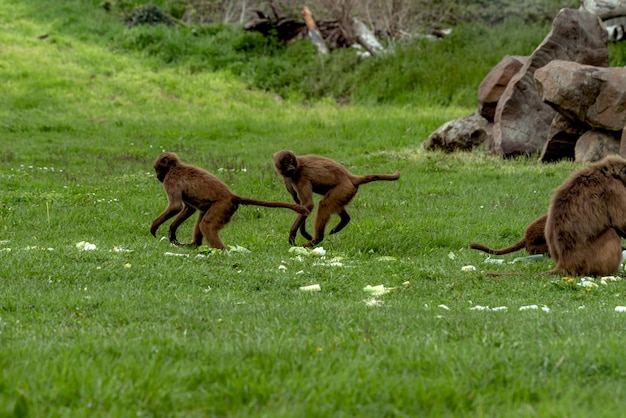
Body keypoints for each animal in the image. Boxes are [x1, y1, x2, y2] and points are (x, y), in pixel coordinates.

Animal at [149, 152, 310, 250]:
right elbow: (189, 208)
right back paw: (195, 245)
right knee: (202, 217)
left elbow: (175, 206)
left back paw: (222, 251)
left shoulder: (170, 180)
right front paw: (172, 231)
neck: (175, 167)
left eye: (157, 168)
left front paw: (154, 227)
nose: (158, 177)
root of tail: (232, 195)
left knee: (206, 225)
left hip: (223, 206)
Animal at [272, 150, 400, 248]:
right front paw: (303, 232)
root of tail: (350, 177)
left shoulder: (299, 176)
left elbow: (308, 205)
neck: (298, 165)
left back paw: (317, 239)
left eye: (292, 161)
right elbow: (300, 205)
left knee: (324, 204)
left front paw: (293, 233)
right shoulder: (288, 179)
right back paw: (344, 220)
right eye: (286, 162)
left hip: (344, 188)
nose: (291, 166)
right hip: (346, 192)